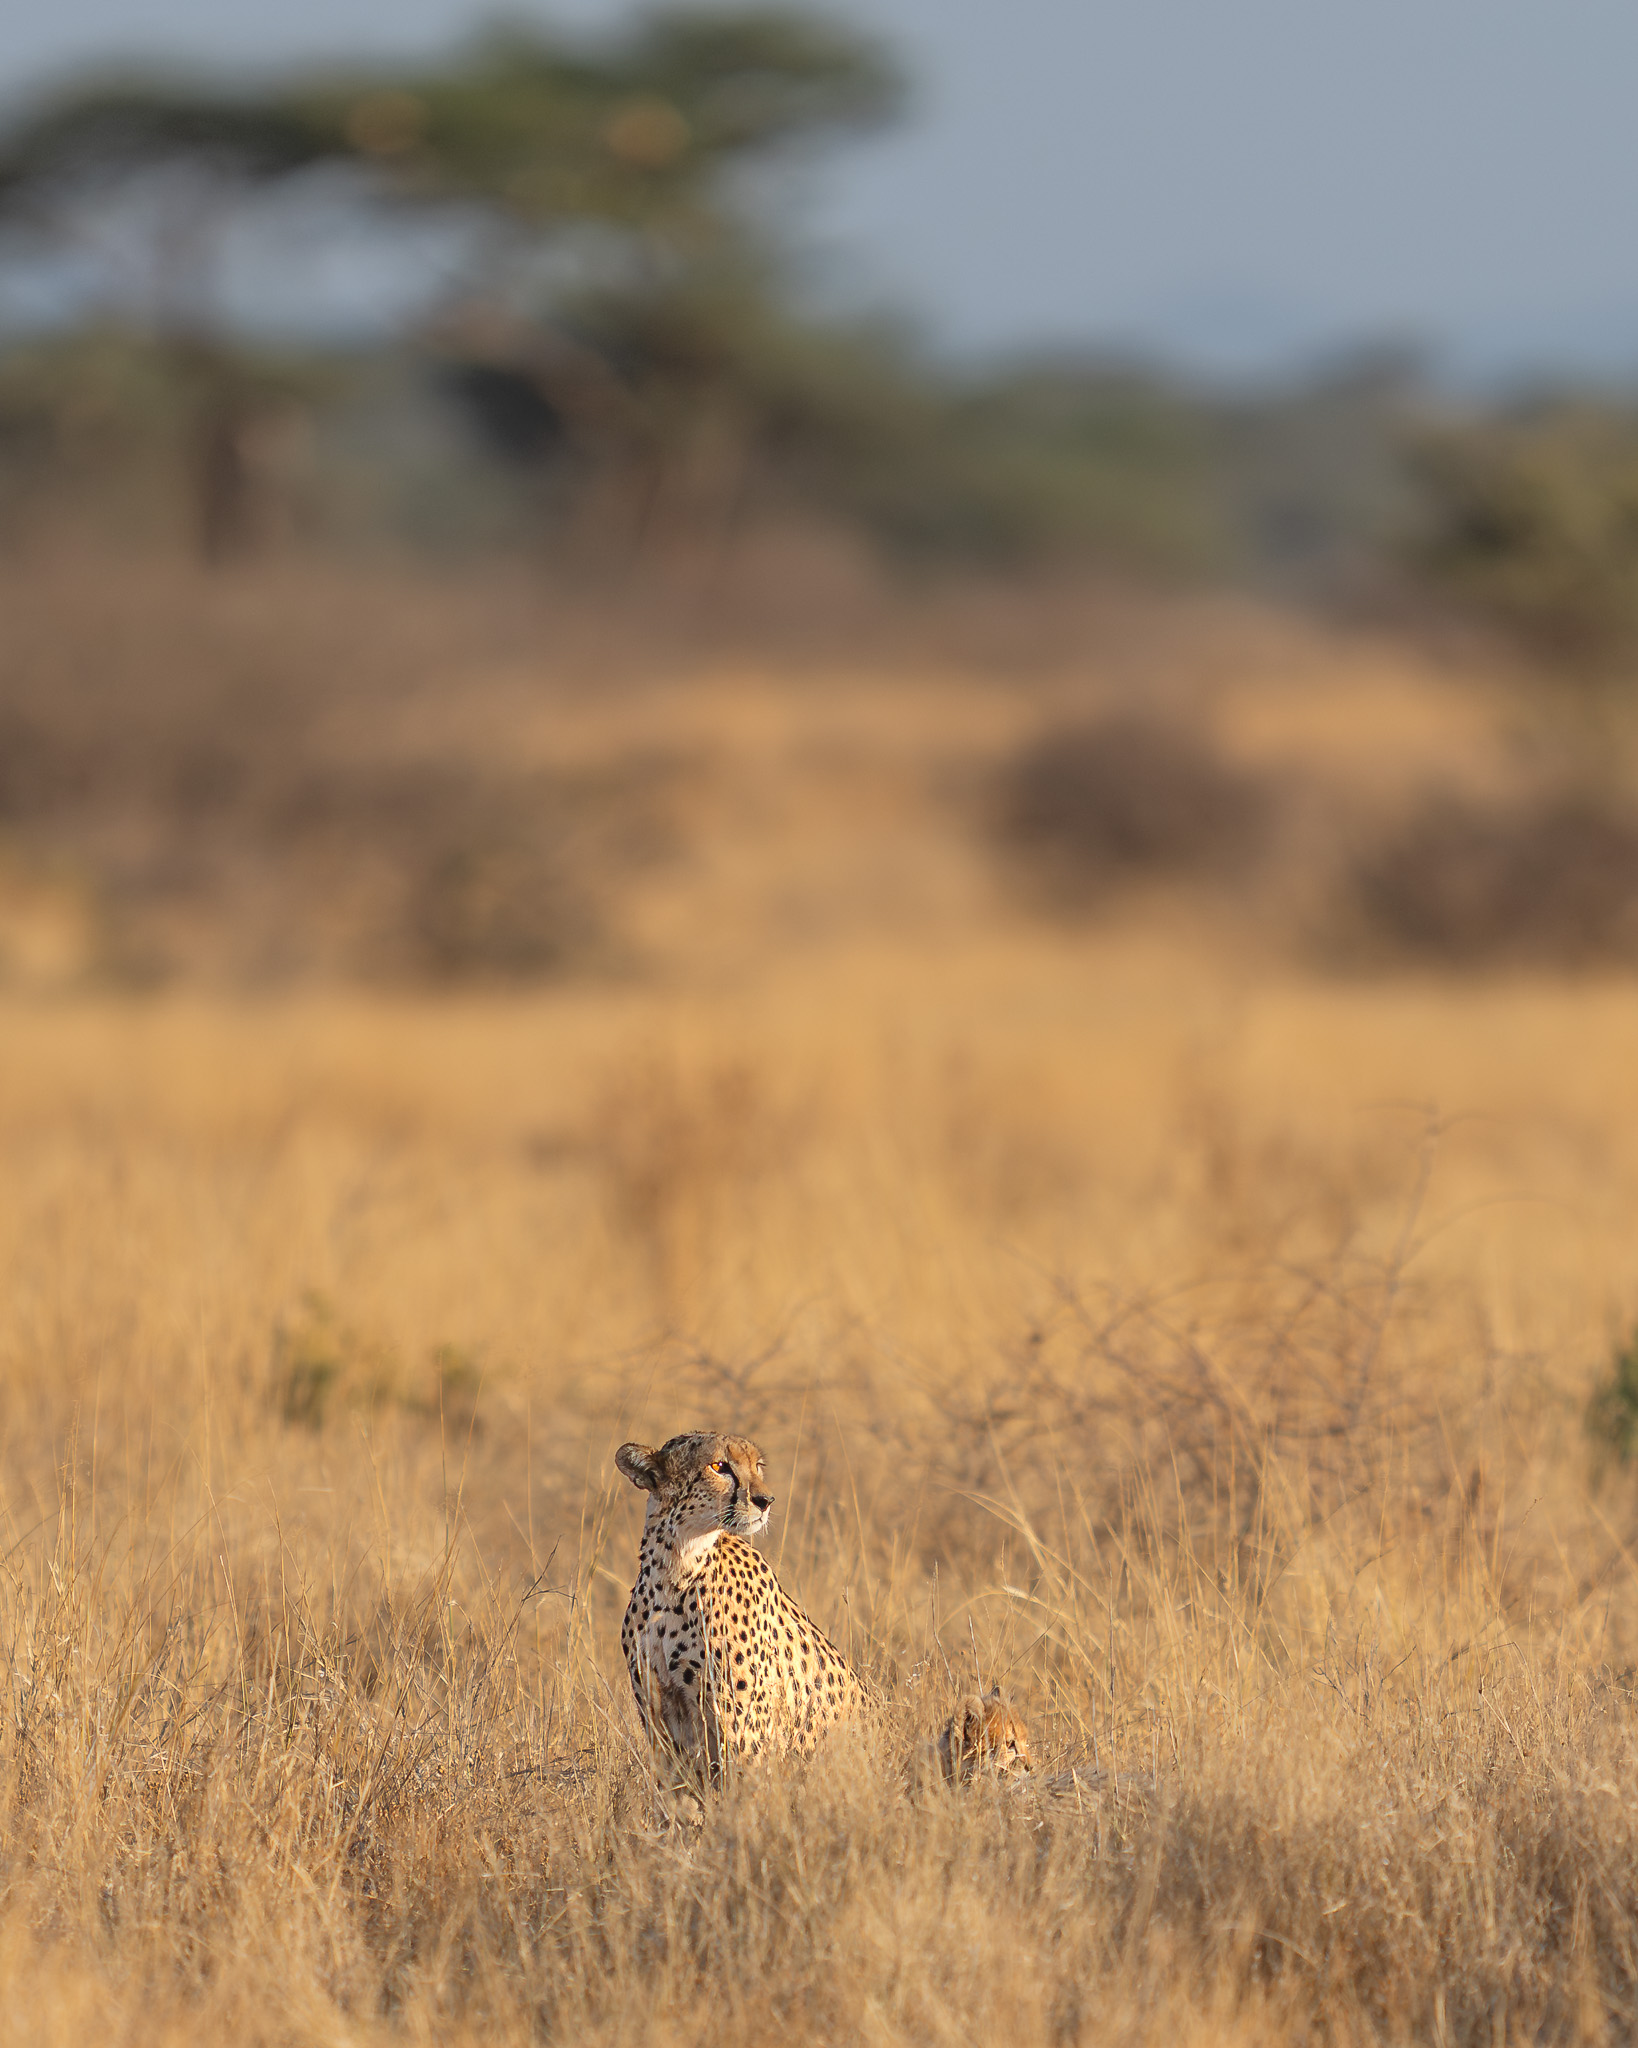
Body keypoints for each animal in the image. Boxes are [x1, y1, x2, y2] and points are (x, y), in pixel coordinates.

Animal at [616, 1430, 870, 1778]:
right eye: (719, 1466)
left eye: (758, 1466)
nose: (765, 1500)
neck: (674, 1572)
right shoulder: (662, 1722)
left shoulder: (744, 1732)